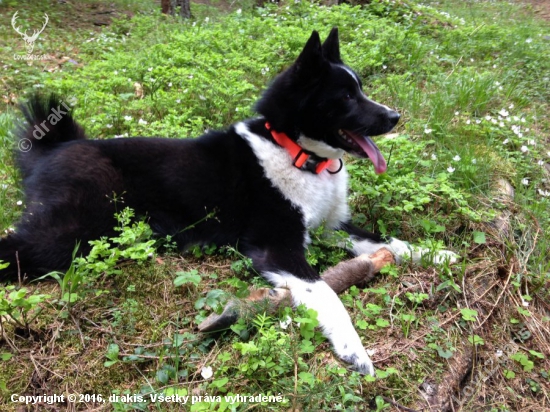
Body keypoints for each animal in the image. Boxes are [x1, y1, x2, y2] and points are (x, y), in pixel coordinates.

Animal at [0, 29, 458, 374]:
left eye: (360, 89)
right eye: (346, 97)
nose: (395, 116)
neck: (296, 152)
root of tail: (54, 149)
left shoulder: (330, 226)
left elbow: (386, 241)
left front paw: (436, 254)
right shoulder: (277, 247)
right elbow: (328, 293)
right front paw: (354, 349)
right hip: (71, 232)